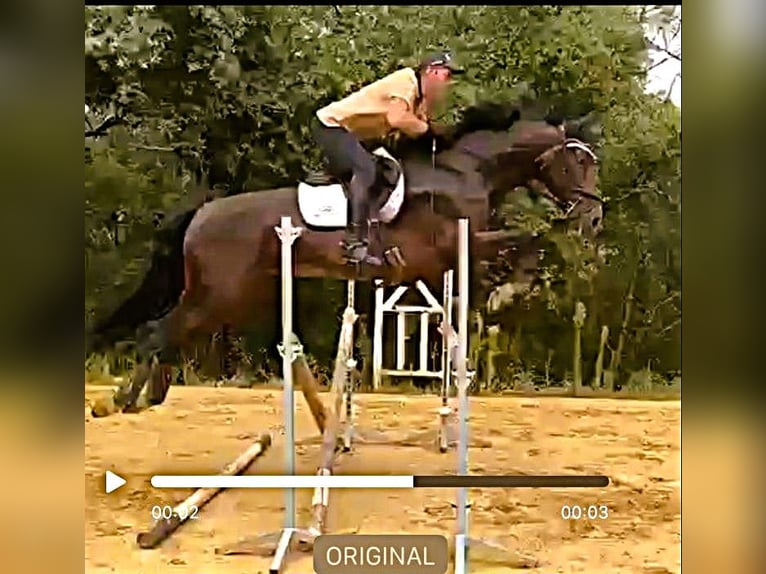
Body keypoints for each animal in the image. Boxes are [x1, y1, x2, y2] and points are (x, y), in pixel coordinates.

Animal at [88, 102, 603, 412]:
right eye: (579, 162)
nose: (594, 217)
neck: (466, 172)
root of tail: (202, 213)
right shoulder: (455, 244)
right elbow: (527, 238)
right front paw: (508, 290)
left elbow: (521, 245)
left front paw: (503, 291)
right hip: (218, 293)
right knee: (155, 332)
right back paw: (120, 401)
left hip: (228, 296)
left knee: (165, 333)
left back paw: (149, 395)